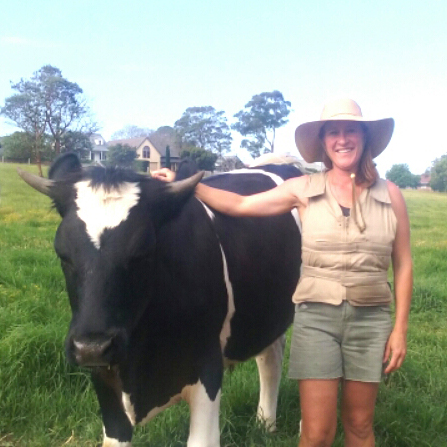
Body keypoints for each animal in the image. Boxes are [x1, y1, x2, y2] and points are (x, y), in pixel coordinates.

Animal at [19, 155, 302, 447]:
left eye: (143, 253)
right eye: (63, 254)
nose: (92, 348)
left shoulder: (208, 368)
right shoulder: (104, 379)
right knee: (270, 357)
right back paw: (265, 424)